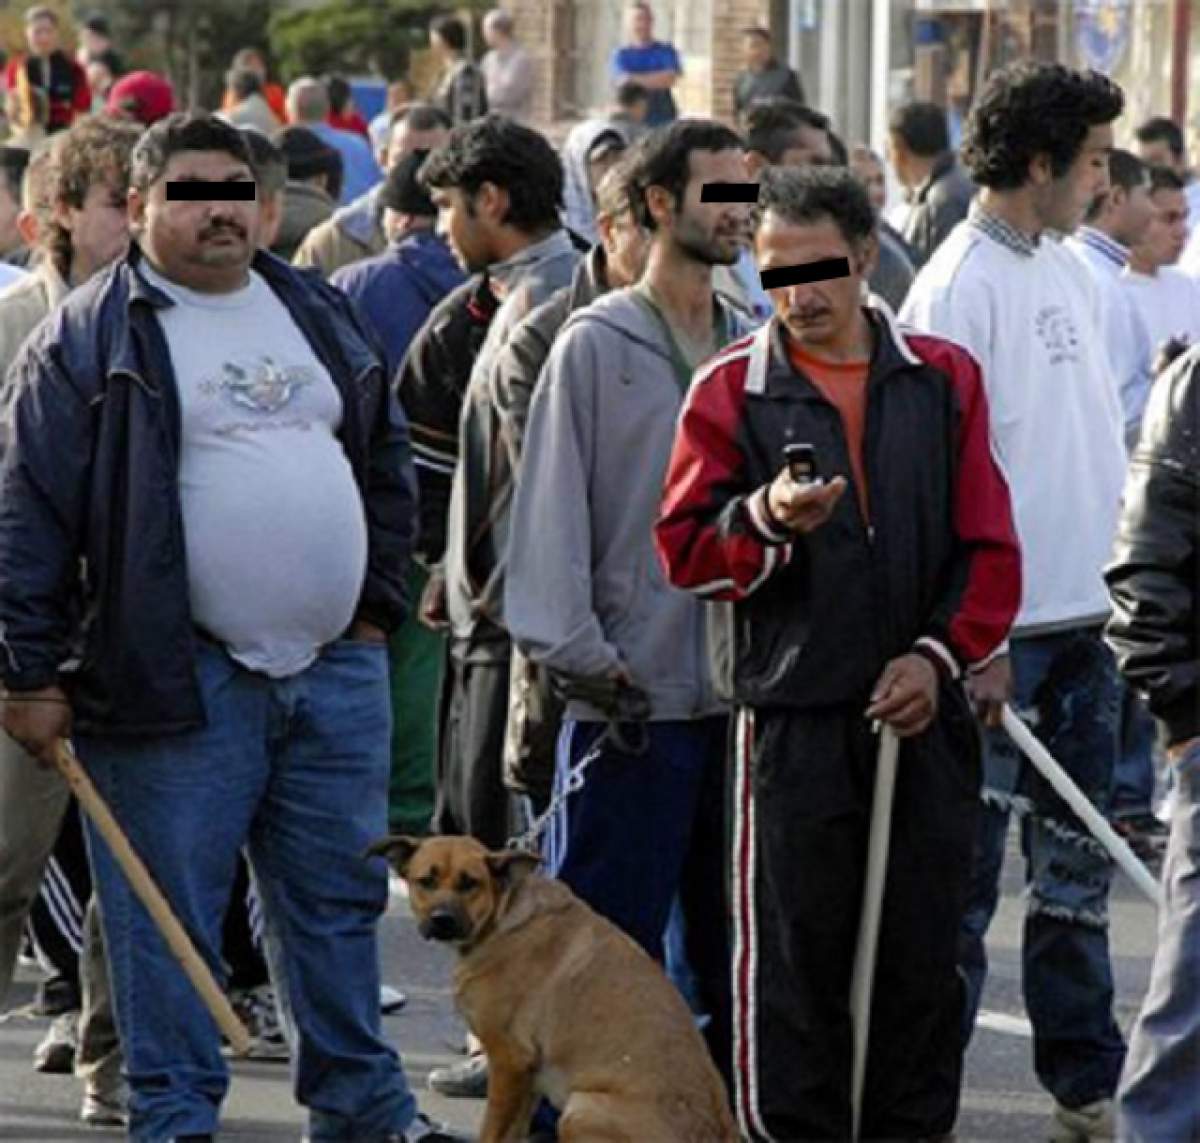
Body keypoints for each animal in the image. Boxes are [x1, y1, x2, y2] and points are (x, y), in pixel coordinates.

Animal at [367, 830, 739, 1143]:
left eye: (470, 883)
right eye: (425, 881)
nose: (441, 920)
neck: (501, 917)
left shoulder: (508, 1061)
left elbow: (492, 1132)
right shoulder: (527, 1079)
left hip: (579, 1110)